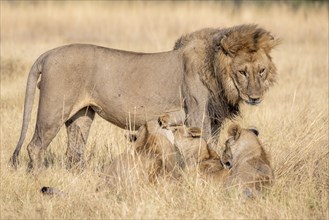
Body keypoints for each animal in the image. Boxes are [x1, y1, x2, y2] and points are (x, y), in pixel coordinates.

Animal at [10, 24, 276, 172]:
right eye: (242, 72)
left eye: (261, 70)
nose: (255, 97)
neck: (217, 73)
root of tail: (47, 54)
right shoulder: (196, 113)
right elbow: (203, 145)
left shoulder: (214, 118)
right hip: (54, 111)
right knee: (35, 146)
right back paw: (38, 177)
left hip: (82, 114)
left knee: (74, 151)